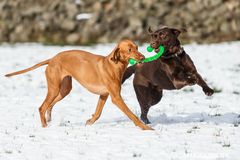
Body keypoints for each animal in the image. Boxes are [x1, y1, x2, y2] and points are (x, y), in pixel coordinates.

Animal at [5, 39, 154, 130]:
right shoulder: (116, 98)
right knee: (42, 107)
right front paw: (146, 128)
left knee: (49, 105)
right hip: (54, 89)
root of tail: (52, 59)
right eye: (129, 50)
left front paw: (89, 122)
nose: (143, 57)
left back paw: (49, 120)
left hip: (64, 90)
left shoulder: (104, 95)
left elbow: (98, 113)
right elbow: (132, 115)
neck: (113, 65)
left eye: (137, 47)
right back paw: (45, 126)